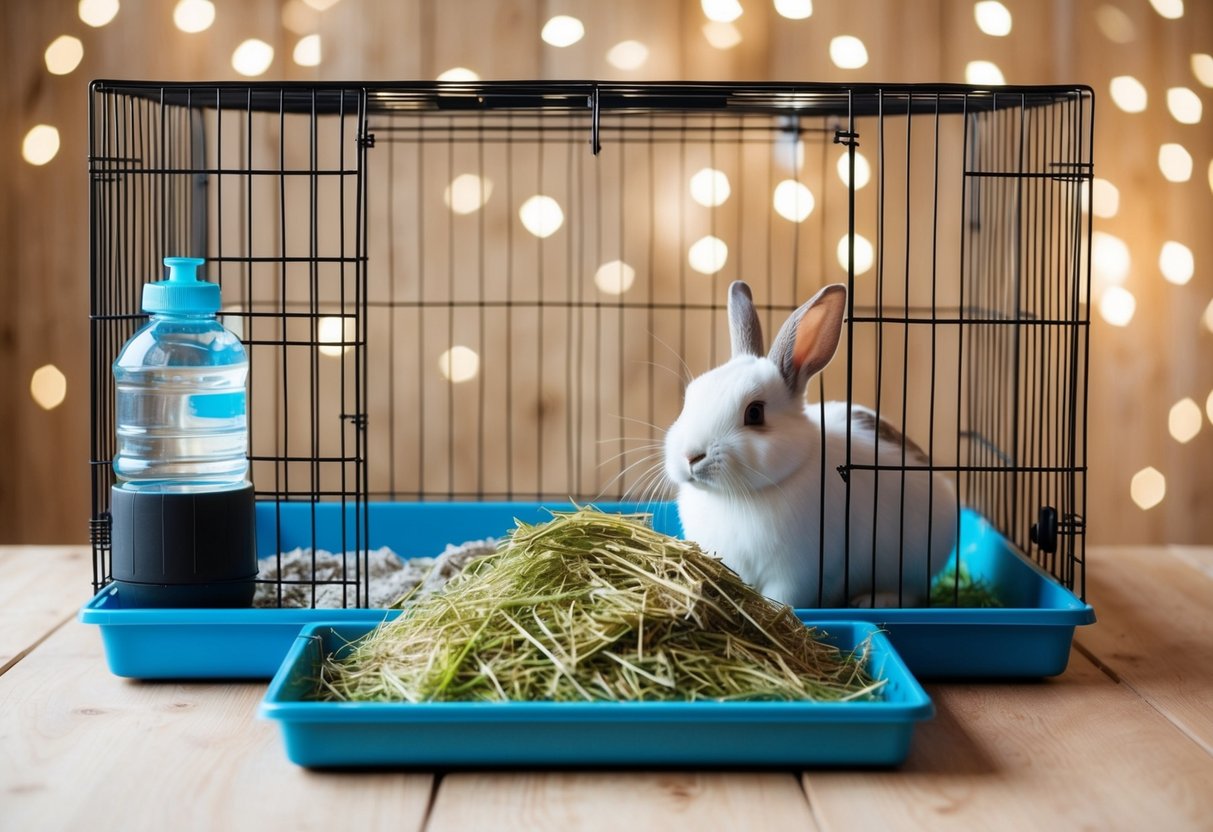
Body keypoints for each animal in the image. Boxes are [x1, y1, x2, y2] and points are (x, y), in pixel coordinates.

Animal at [663, 280, 957, 608]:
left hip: (911, 563)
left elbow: (780, 601)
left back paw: (873, 601)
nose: (690, 456)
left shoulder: (794, 575)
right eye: (690, 396)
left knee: (909, 591)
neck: (738, 496)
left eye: (755, 413)